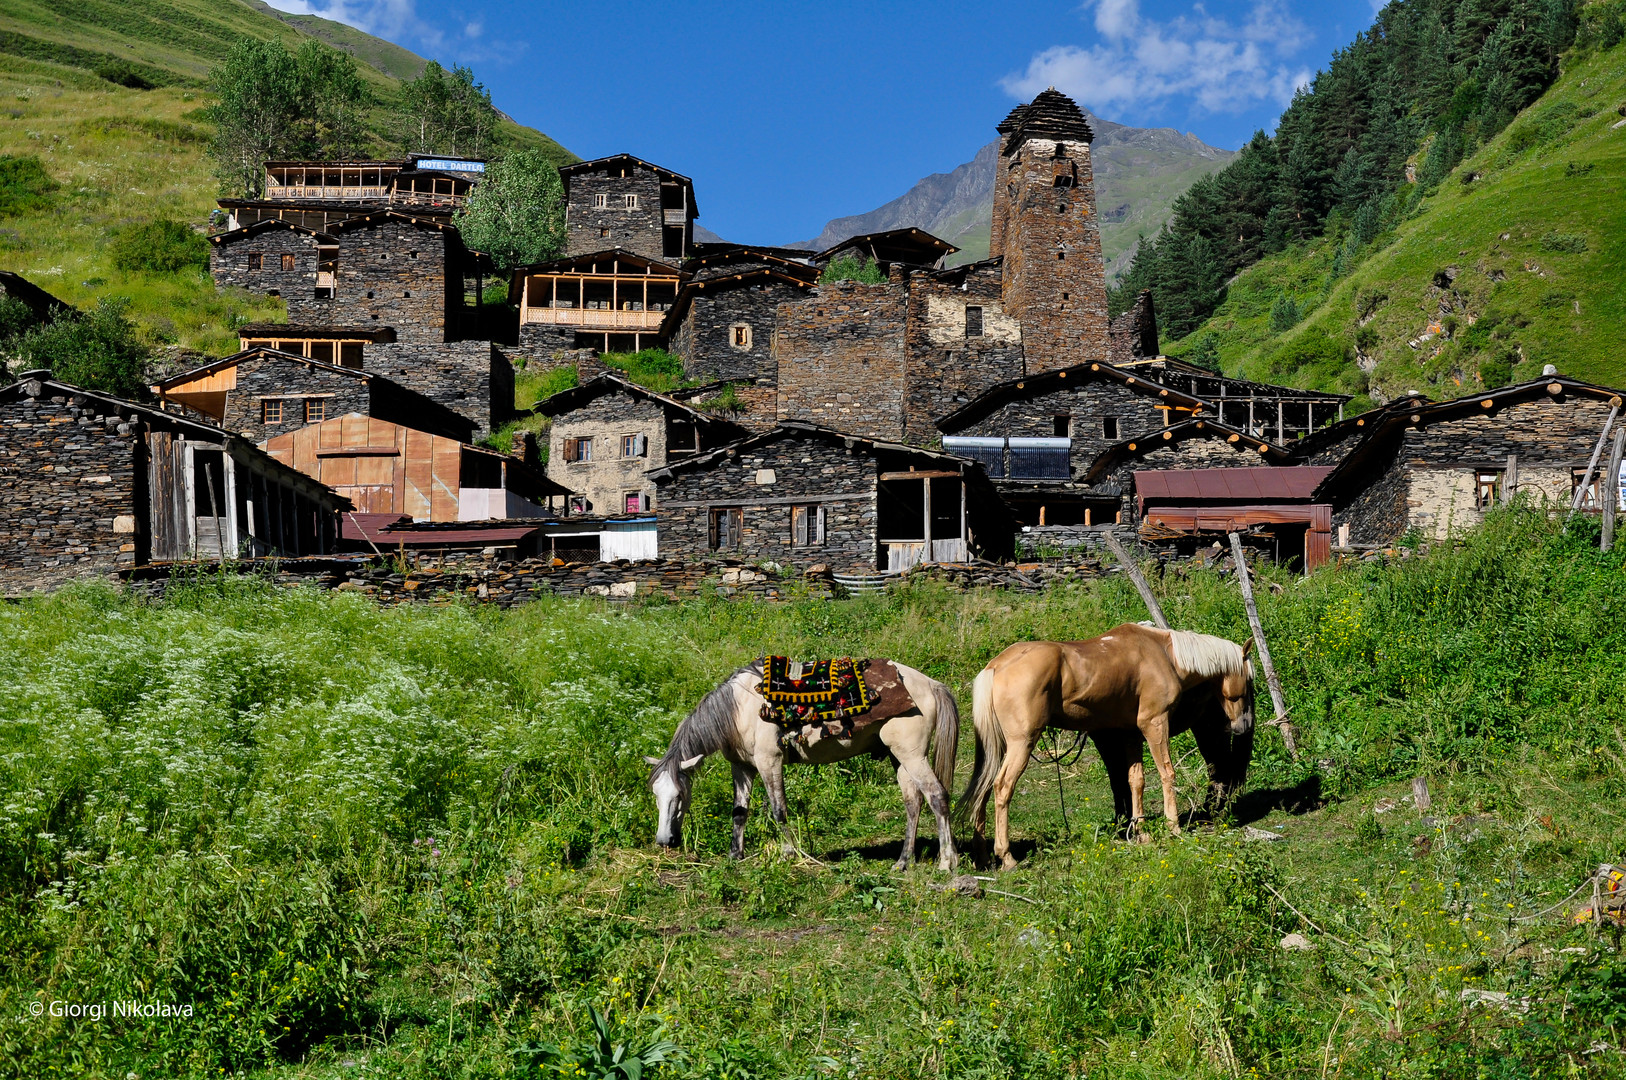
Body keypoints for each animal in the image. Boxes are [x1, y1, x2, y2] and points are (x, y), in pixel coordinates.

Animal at [640, 657, 956, 878]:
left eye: (680, 795)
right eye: (656, 795)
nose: (664, 841)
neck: (739, 710)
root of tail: (930, 684)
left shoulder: (770, 761)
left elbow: (779, 810)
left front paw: (789, 854)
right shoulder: (741, 767)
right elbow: (739, 812)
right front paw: (734, 856)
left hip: (912, 756)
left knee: (937, 796)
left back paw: (947, 862)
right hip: (899, 758)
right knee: (913, 804)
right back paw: (903, 862)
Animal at [962, 624, 1255, 871]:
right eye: (1249, 680)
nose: (1243, 724)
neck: (1163, 654)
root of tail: (996, 666)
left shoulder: (1131, 733)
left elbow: (1135, 780)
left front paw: (1141, 832)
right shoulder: (1154, 724)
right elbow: (1167, 774)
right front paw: (1173, 827)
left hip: (997, 748)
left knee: (983, 788)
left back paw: (983, 857)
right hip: (1021, 744)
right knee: (1002, 787)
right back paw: (1007, 856)